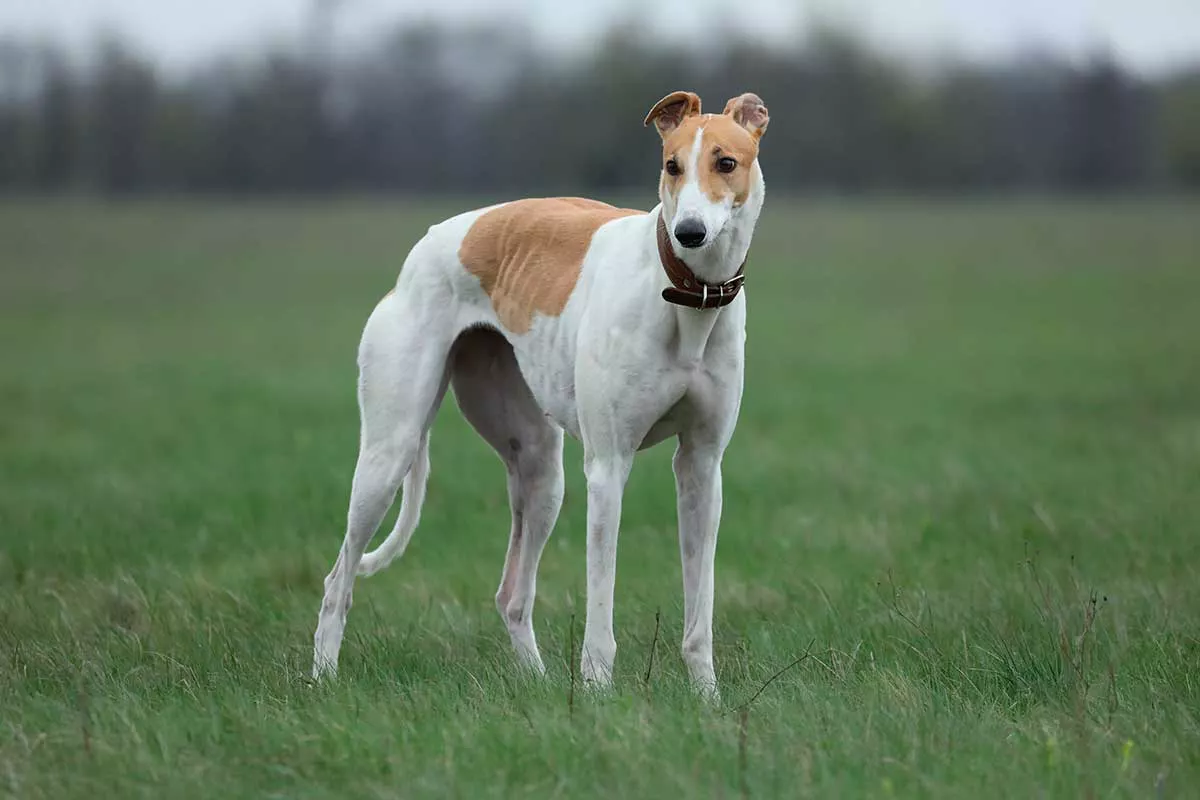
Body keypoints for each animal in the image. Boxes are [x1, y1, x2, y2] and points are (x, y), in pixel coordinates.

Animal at [312, 90, 768, 695]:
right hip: (389, 453)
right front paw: (598, 693)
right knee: (337, 578)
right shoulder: (608, 468)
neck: (684, 292)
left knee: (512, 594)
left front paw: (707, 698)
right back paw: (321, 678)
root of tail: (428, 242)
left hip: (541, 471)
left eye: (726, 162)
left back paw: (537, 683)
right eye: (671, 165)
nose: (689, 232)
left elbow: (700, 609)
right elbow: (601, 606)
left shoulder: (702, 466)